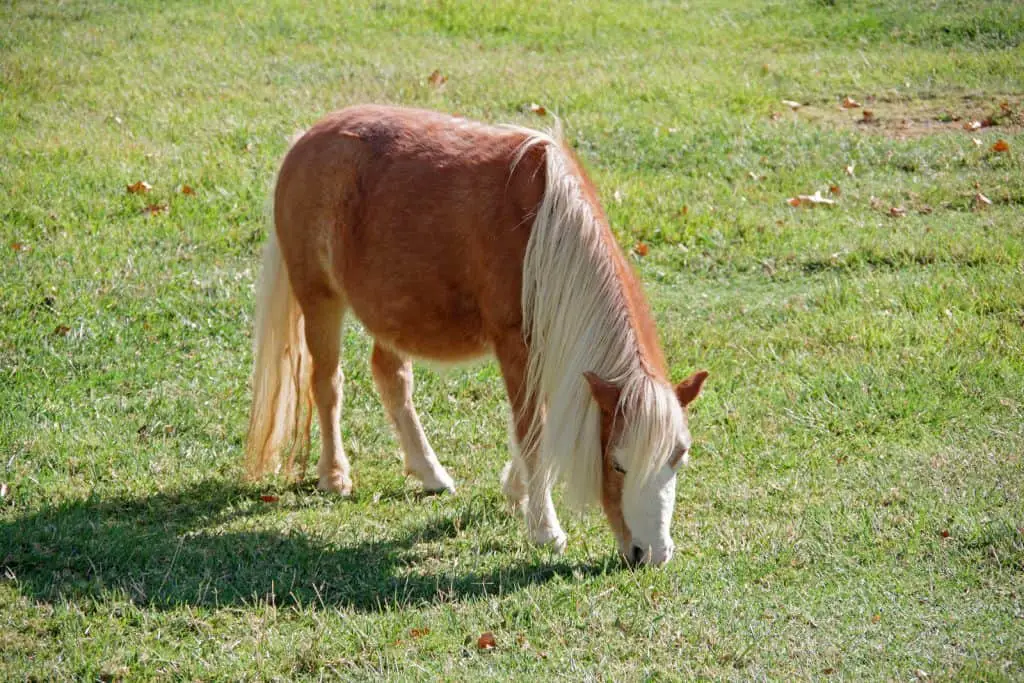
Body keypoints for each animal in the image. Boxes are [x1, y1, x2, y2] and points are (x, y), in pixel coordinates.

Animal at [244, 105, 708, 565]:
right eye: (617, 465)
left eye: (678, 458)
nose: (652, 554)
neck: (542, 228)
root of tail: (307, 137)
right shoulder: (515, 346)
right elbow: (532, 430)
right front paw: (545, 530)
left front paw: (516, 492)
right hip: (319, 298)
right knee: (327, 384)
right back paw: (335, 475)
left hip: (390, 313)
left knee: (391, 379)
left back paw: (430, 473)